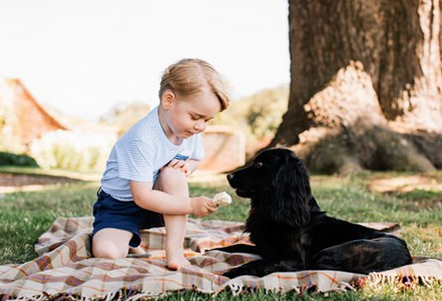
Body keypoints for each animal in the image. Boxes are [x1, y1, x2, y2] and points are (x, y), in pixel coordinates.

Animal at [219, 147, 412, 276]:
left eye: (259, 164)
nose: (229, 176)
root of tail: (407, 258)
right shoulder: (266, 249)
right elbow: (237, 246)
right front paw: (215, 250)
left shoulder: (294, 260)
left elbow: (257, 263)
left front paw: (229, 273)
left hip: (329, 252)